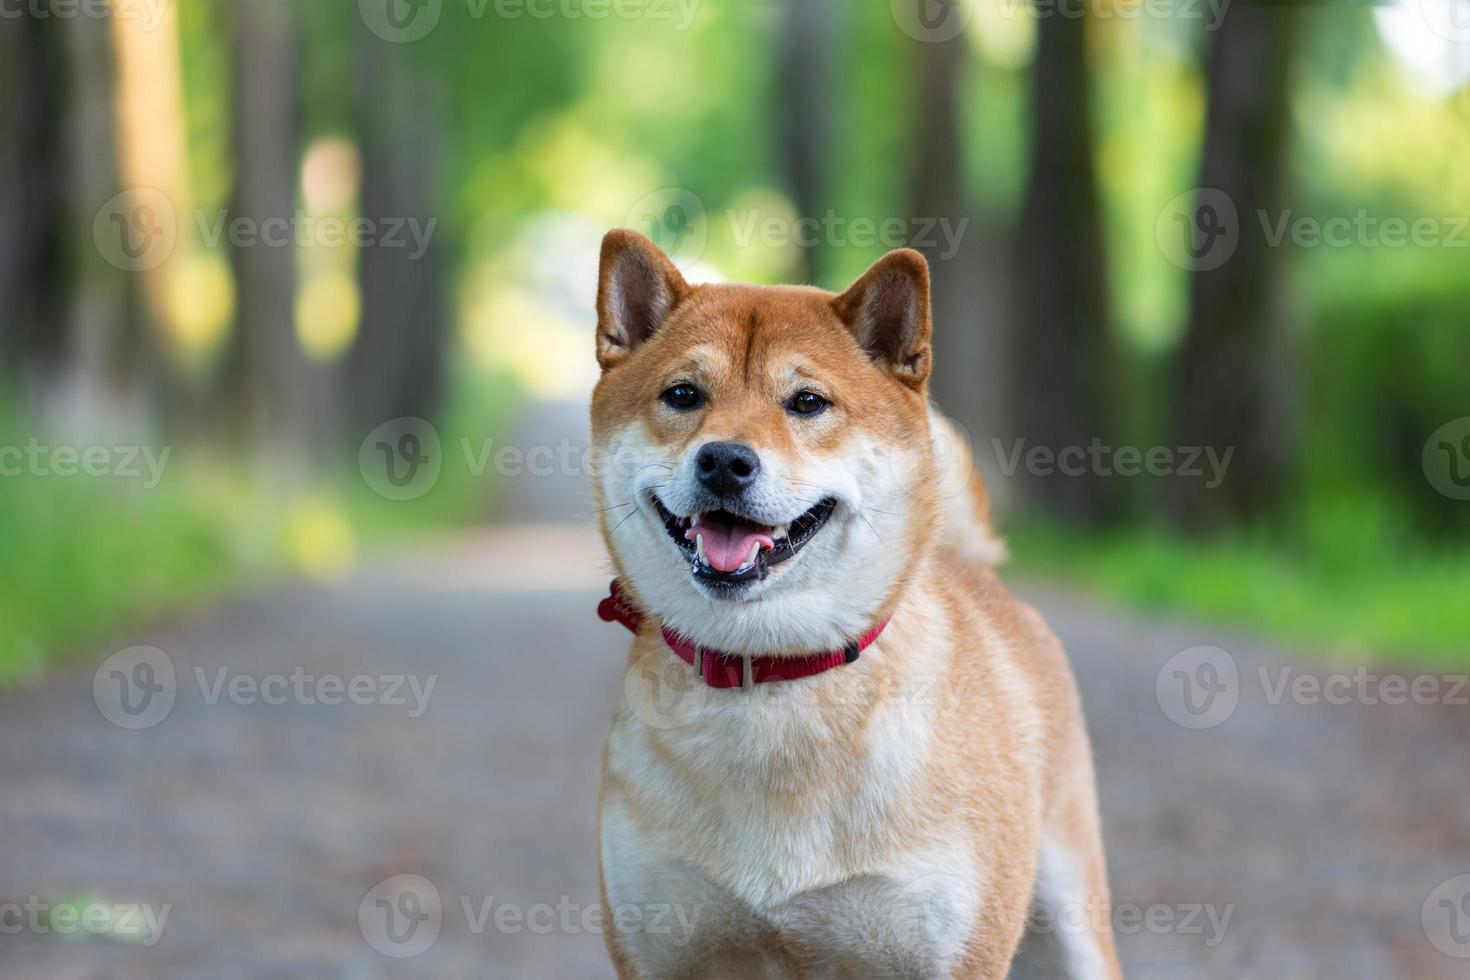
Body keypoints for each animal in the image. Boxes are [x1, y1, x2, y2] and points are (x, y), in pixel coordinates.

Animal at [590, 232, 1117, 980]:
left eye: (807, 402)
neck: (772, 673)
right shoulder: (659, 951)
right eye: (683, 394)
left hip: (1071, 917)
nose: (724, 461)